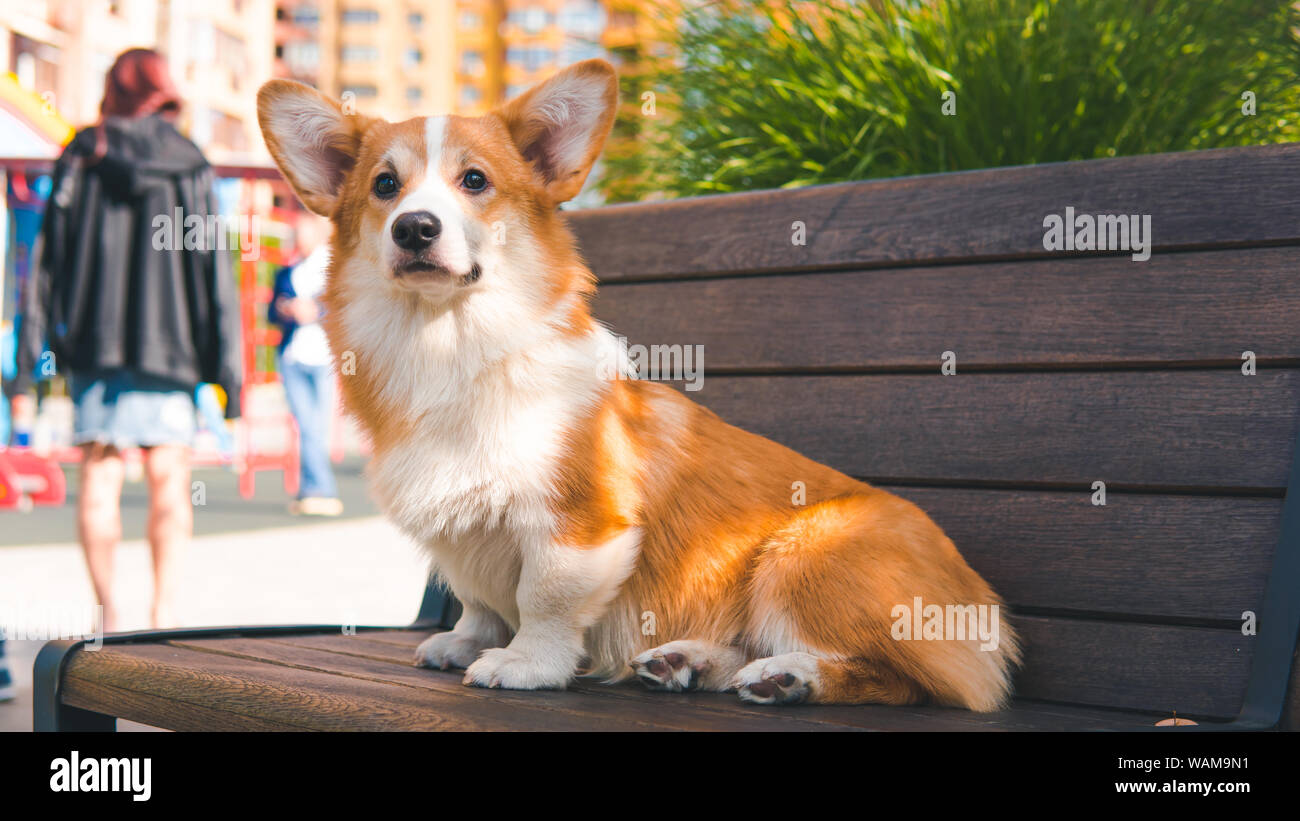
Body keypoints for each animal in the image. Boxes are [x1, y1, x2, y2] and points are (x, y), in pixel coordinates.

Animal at [258, 59, 1019, 711]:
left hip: (803, 553)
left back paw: (791, 676)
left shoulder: (578, 522)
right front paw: (466, 641)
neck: (449, 344)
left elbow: (543, 597)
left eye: (474, 181)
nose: (415, 227)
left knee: (905, 681)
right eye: (385, 187)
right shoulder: (459, 530)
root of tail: (987, 610)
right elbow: (478, 597)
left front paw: (525, 663)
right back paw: (690, 661)